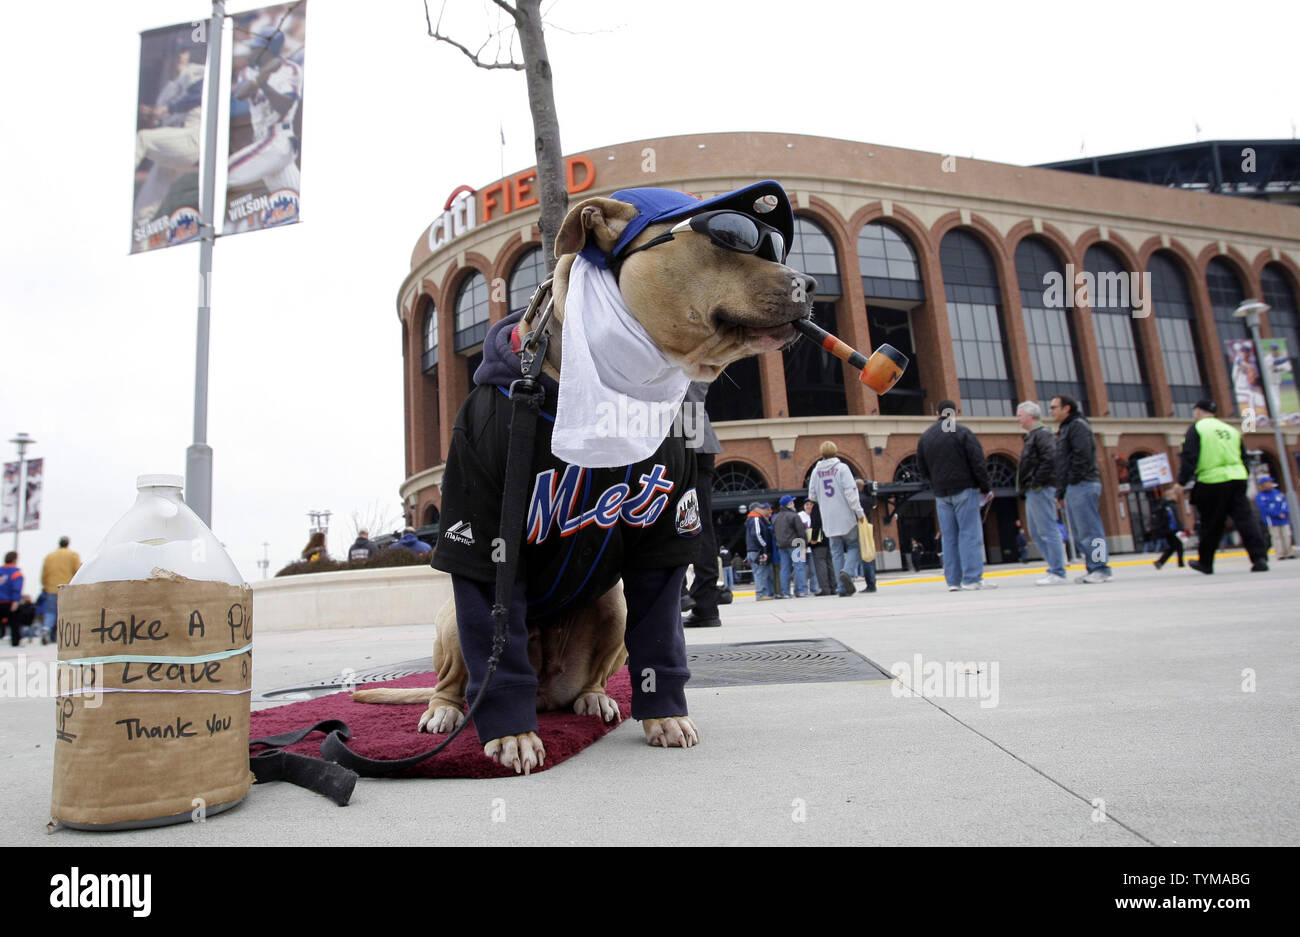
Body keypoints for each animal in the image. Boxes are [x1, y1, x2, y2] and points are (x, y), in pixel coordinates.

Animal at [353, 183, 811, 774]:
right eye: (729, 237)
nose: (811, 284)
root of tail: (547, 693)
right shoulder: (481, 531)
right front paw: (510, 733)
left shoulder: (664, 538)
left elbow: (660, 640)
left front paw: (665, 715)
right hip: (454, 617)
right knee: (457, 678)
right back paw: (447, 711)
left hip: (613, 605)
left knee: (590, 675)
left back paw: (593, 699)